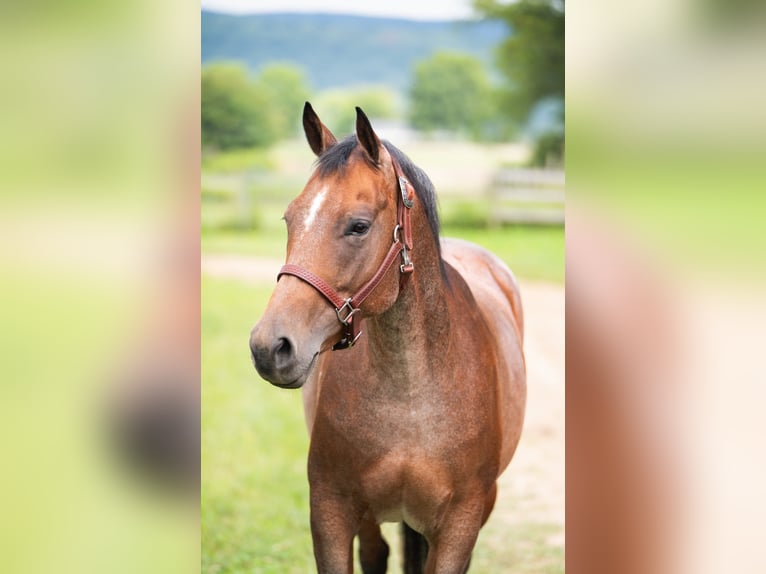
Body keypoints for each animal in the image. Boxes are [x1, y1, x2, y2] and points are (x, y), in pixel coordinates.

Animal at [249, 102, 526, 573]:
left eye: (359, 226)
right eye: (290, 219)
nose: (269, 347)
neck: (411, 394)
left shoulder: (460, 525)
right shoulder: (331, 511)